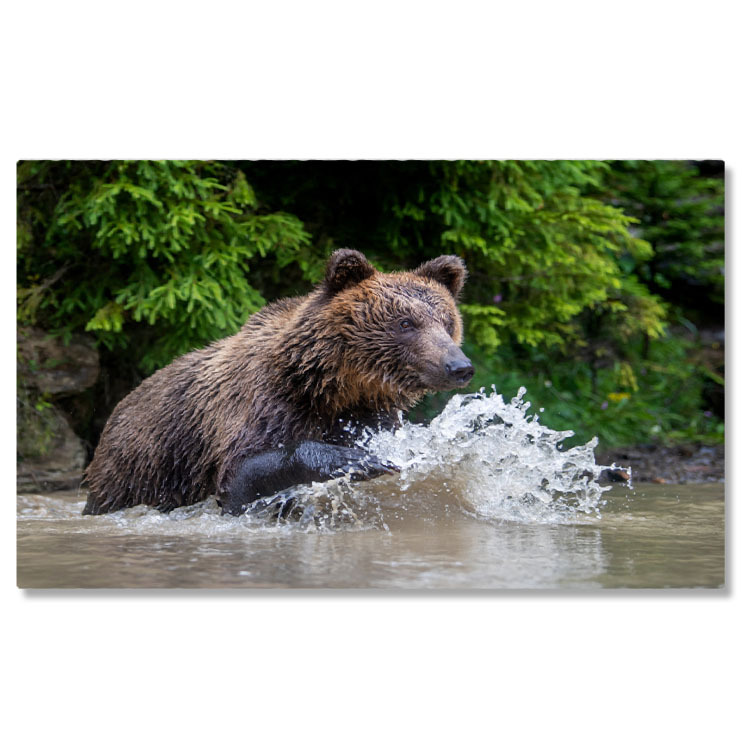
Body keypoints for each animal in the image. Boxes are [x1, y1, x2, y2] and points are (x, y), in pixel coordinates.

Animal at [83, 249, 474, 516]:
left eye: (446, 322)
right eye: (406, 323)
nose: (459, 366)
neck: (332, 385)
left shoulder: (369, 413)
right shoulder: (262, 404)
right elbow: (240, 474)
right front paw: (359, 461)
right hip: (142, 467)